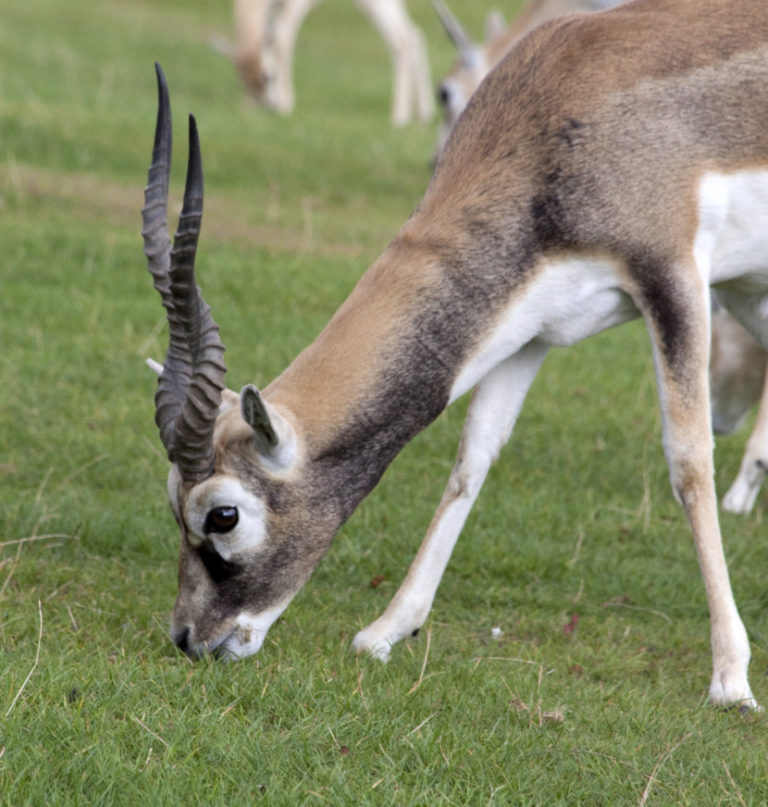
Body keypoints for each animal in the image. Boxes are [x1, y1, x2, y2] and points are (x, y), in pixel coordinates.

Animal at [228, 0, 436, 124]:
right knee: (415, 35)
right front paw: (247, 106)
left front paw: (285, 104)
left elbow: (281, 37)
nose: (268, 106)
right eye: (242, 82)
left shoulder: (294, 5)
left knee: (403, 40)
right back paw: (425, 113)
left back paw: (399, 116)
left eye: (269, 77)